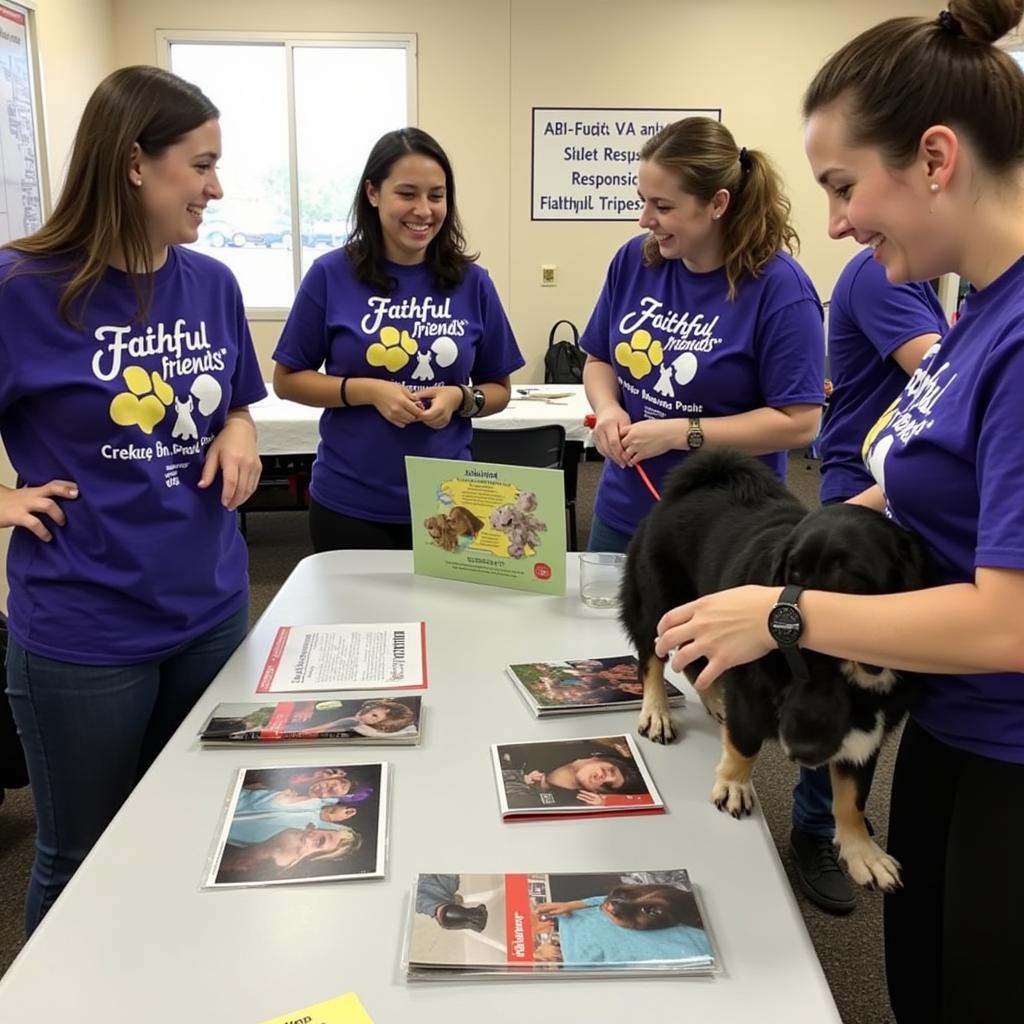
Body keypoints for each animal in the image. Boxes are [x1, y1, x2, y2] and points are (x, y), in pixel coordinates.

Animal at [618, 448, 933, 888]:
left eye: (853, 581)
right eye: (793, 572)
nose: (803, 752)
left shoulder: (868, 731)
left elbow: (852, 797)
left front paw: (860, 851)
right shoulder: (752, 692)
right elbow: (744, 744)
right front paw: (733, 784)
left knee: (697, 665)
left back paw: (715, 700)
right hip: (660, 605)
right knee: (652, 659)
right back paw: (658, 711)